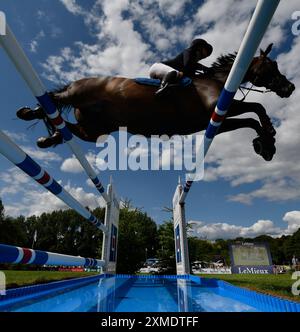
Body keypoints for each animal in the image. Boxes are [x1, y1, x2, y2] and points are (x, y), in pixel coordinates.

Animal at [17, 44, 296, 162]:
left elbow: (250, 117)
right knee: (53, 100)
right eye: (272, 65)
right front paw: (268, 137)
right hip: (78, 95)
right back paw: (28, 112)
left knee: (68, 127)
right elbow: (255, 110)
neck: (217, 80)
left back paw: (48, 139)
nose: (290, 88)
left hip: (93, 129)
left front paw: (266, 144)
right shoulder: (217, 111)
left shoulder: (215, 122)